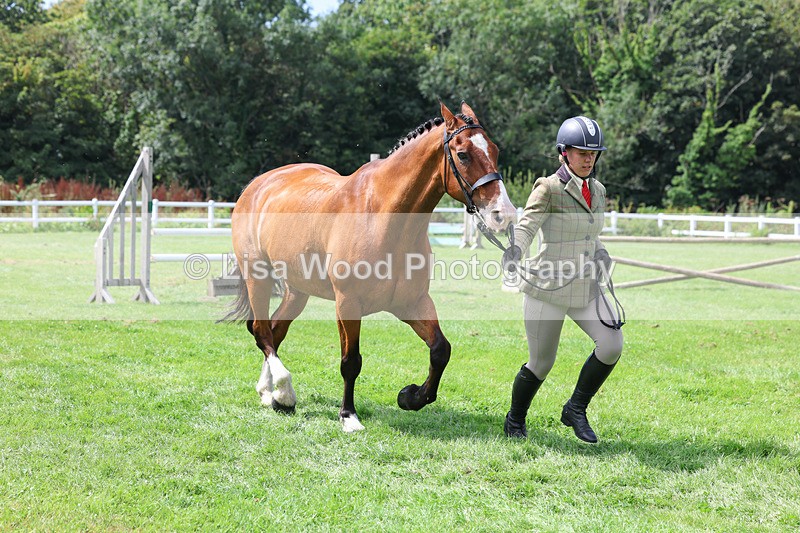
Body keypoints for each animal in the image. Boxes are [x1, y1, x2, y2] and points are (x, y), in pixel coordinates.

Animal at [225, 101, 516, 432]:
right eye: (463, 154)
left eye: (495, 150)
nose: (503, 214)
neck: (382, 218)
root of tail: (257, 185)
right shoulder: (348, 305)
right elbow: (351, 361)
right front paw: (348, 416)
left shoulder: (412, 303)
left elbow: (441, 350)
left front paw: (411, 397)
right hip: (257, 277)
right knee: (261, 331)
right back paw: (284, 393)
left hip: (297, 290)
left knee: (275, 331)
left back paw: (269, 392)